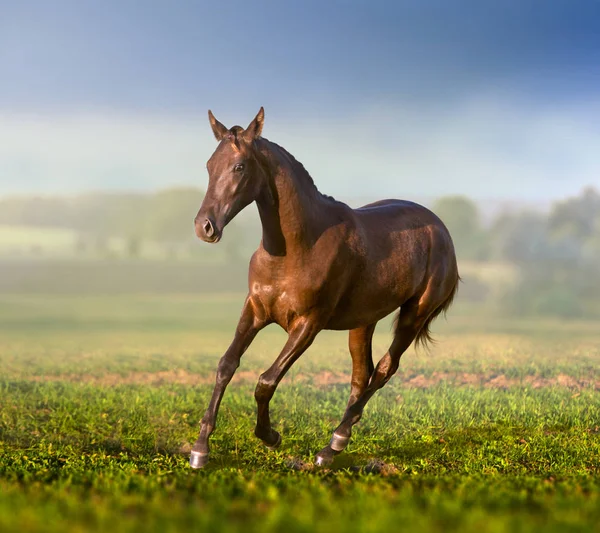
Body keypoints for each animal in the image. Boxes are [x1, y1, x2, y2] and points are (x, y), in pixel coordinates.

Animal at [191, 107, 460, 466]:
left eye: (239, 166)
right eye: (209, 165)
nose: (204, 227)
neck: (297, 248)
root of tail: (442, 230)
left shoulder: (308, 324)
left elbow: (266, 381)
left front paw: (270, 436)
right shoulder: (255, 310)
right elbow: (226, 365)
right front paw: (200, 448)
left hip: (414, 315)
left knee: (384, 369)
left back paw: (334, 442)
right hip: (363, 322)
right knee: (362, 374)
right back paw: (334, 446)